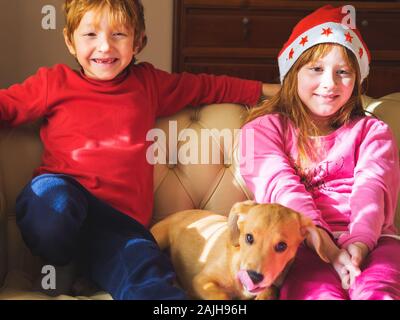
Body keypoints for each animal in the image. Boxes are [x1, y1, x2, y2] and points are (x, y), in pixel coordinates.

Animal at [150, 200, 328, 300]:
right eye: (249, 237)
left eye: (282, 246)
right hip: (159, 236)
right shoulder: (201, 281)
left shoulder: (271, 286)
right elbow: (221, 296)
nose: (253, 277)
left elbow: (269, 291)